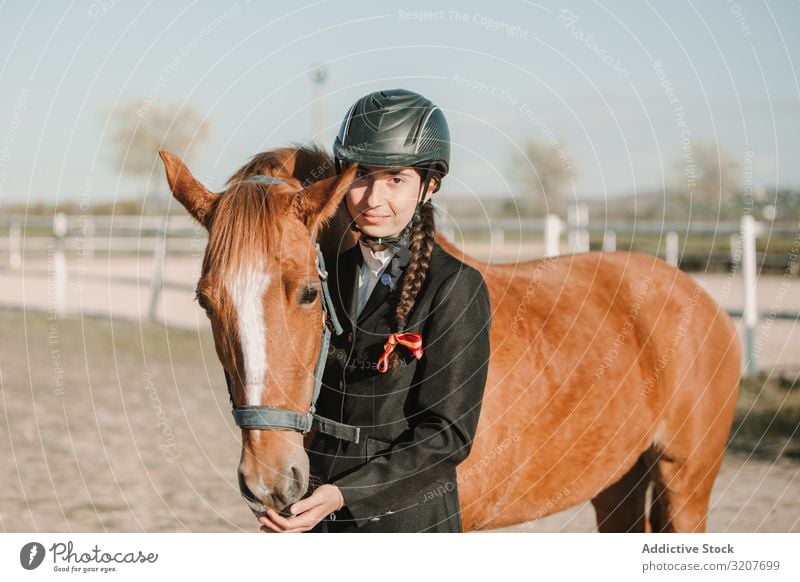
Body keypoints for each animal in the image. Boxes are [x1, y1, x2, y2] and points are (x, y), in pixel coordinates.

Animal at [159, 145, 740, 532]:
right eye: (205, 301)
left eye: (307, 293)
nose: (270, 480)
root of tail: (702, 298)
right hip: (617, 484)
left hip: (687, 485)